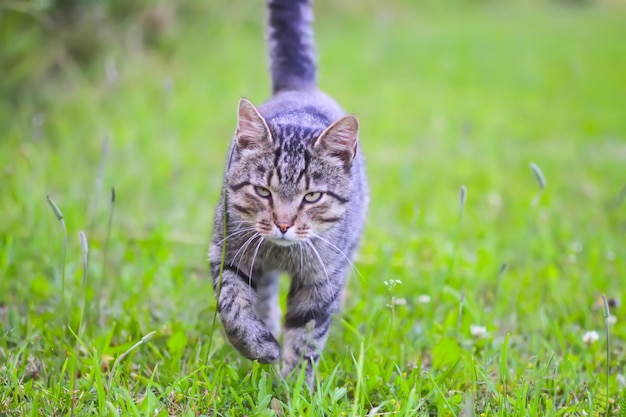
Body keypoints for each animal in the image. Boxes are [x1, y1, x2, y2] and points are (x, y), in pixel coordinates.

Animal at [207, 0, 368, 386]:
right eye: (262, 191)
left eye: (312, 197)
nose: (282, 224)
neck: (282, 254)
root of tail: (299, 87)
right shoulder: (227, 252)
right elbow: (232, 306)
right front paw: (261, 346)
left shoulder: (320, 279)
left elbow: (305, 336)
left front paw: (294, 388)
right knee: (262, 297)